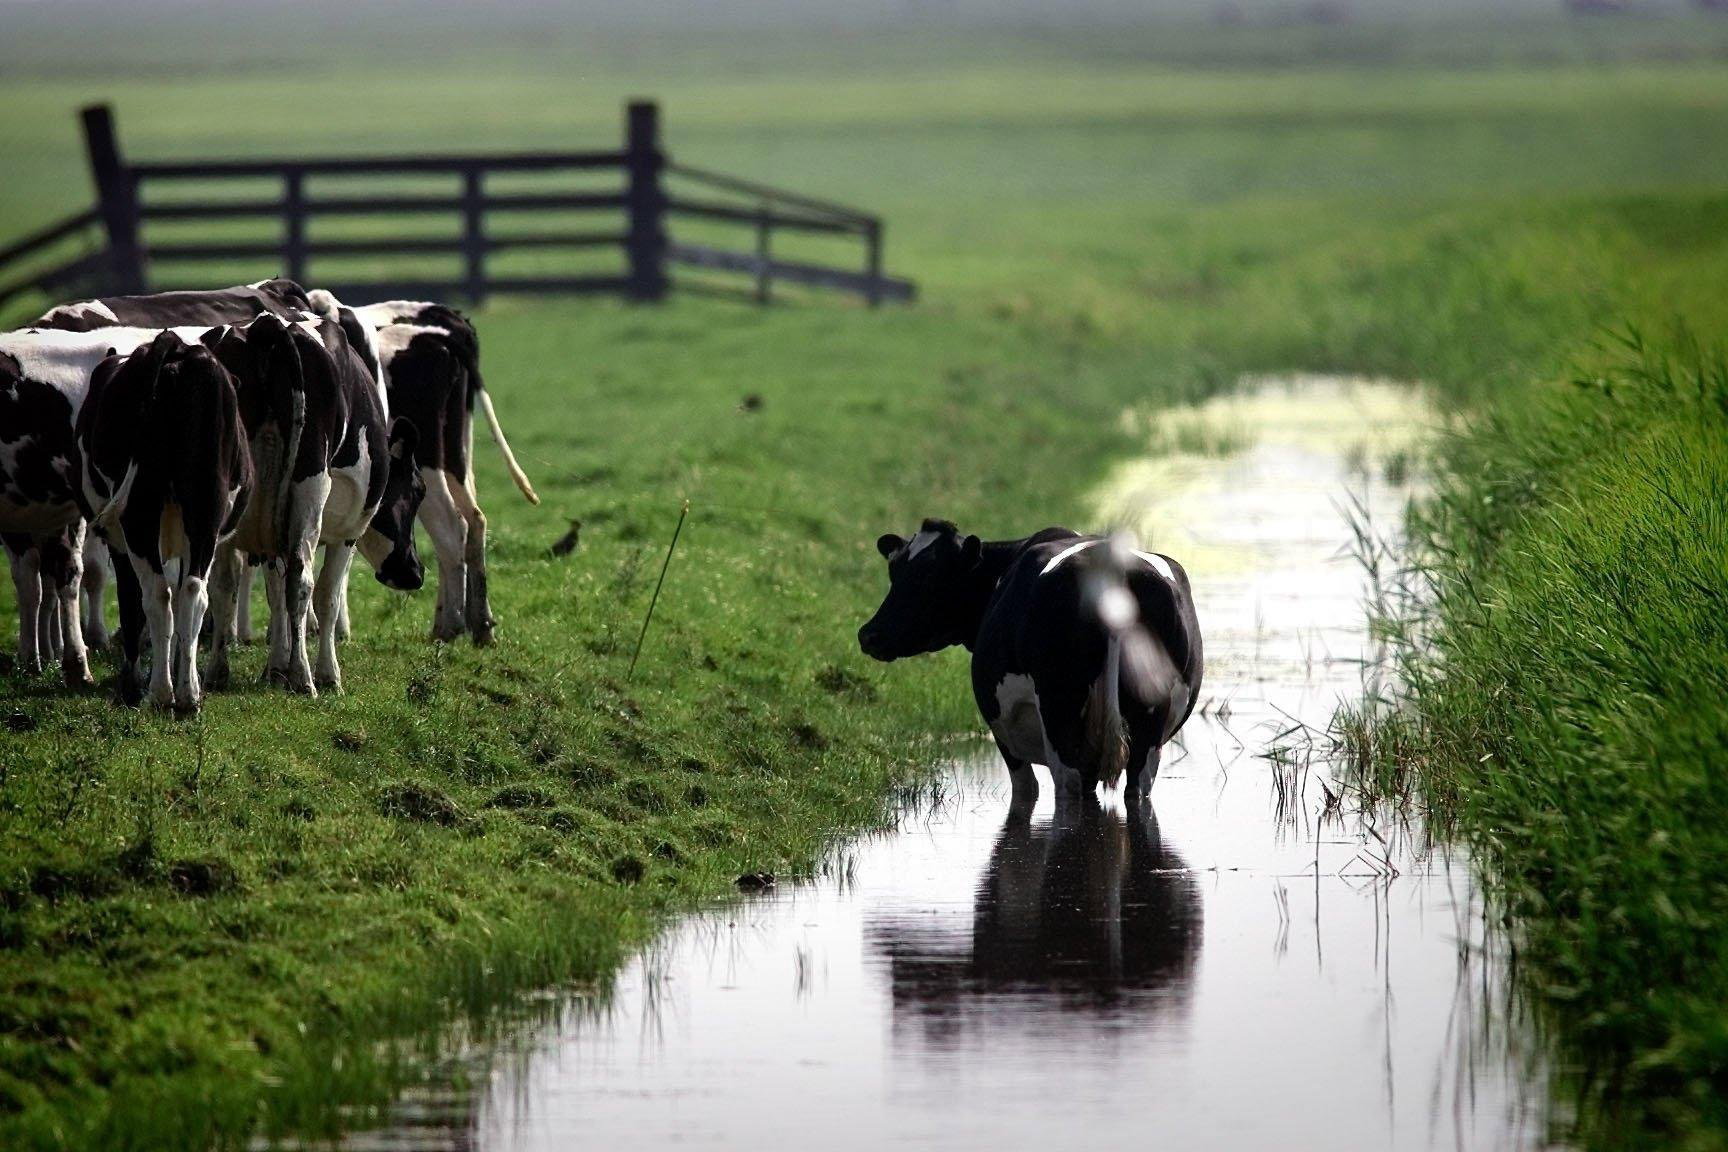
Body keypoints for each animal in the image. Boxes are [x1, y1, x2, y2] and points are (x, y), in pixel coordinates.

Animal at [77, 332, 252, 711]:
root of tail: (174, 348)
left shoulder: (118, 540)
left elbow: (131, 602)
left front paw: (131, 685)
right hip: (205, 509)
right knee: (192, 592)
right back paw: (187, 696)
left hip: (138, 516)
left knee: (154, 593)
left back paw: (156, 692)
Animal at [858, 520, 1204, 802]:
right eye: (894, 572)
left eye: (930, 579)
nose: (869, 635)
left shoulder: (1003, 732)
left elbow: (1026, 790)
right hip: (1147, 721)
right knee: (1137, 786)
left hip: (1059, 710)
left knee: (1068, 786)